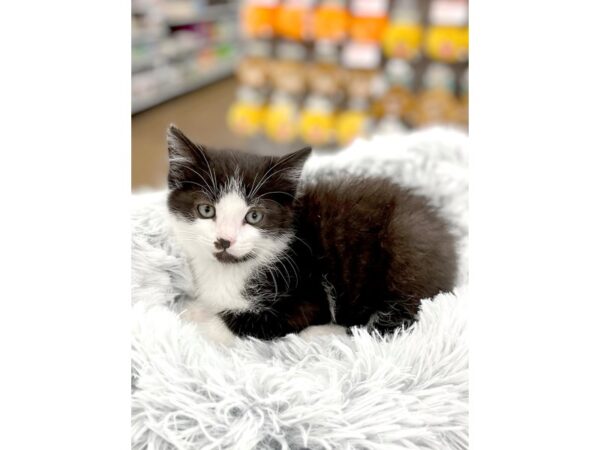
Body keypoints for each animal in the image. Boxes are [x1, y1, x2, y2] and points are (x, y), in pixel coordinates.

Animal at [166, 125, 458, 342]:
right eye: (206, 210)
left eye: (254, 216)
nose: (225, 240)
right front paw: (192, 308)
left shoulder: (305, 295)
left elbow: (246, 321)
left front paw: (197, 323)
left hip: (404, 247)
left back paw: (324, 333)